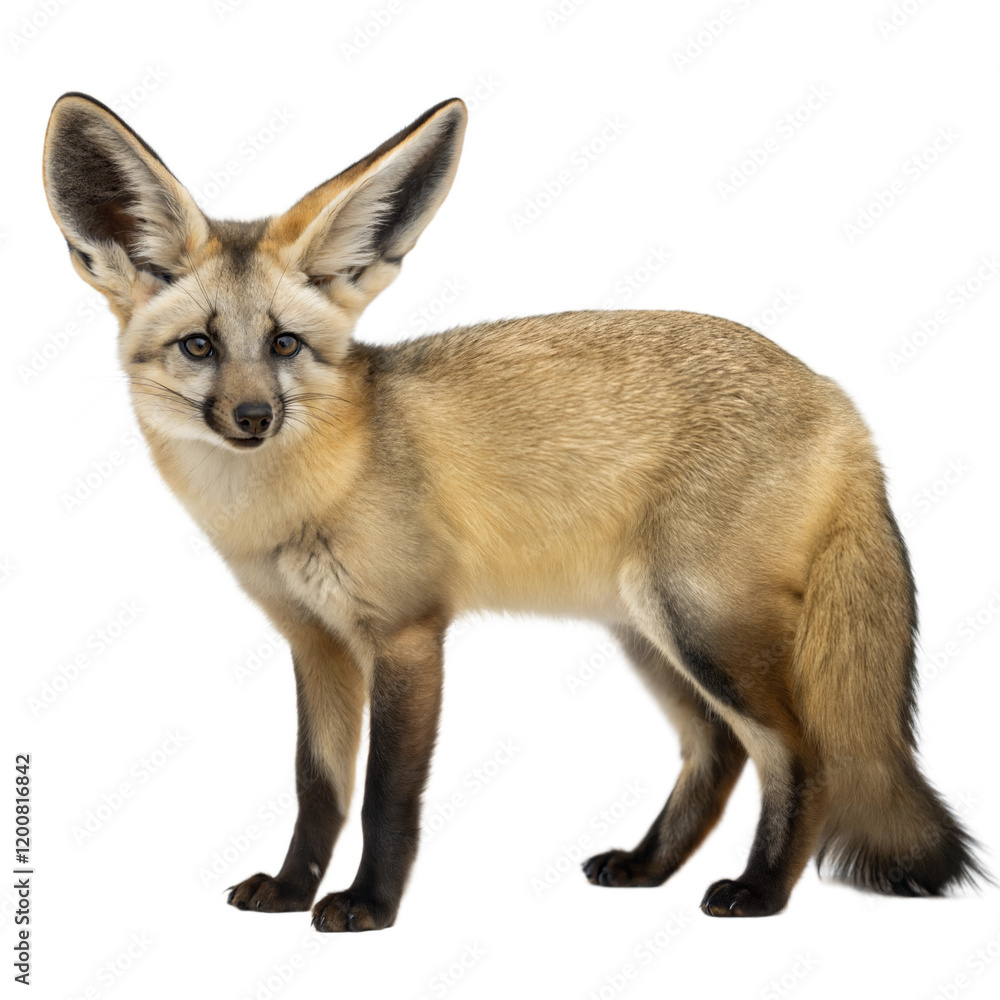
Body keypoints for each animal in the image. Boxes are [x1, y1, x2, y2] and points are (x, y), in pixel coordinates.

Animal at [42, 92, 986, 931]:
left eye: (283, 345)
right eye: (200, 346)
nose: (252, 418)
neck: (300, 499)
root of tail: (838, 399)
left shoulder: (408, 633)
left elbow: (385, 795)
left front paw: (367, 906)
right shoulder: (316, 643)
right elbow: (319, 787)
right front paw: (290, 888)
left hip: (701, 624)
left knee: (801, 754)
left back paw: (759, 893)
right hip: (650, 633)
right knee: (717, 754)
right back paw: (648, 868)